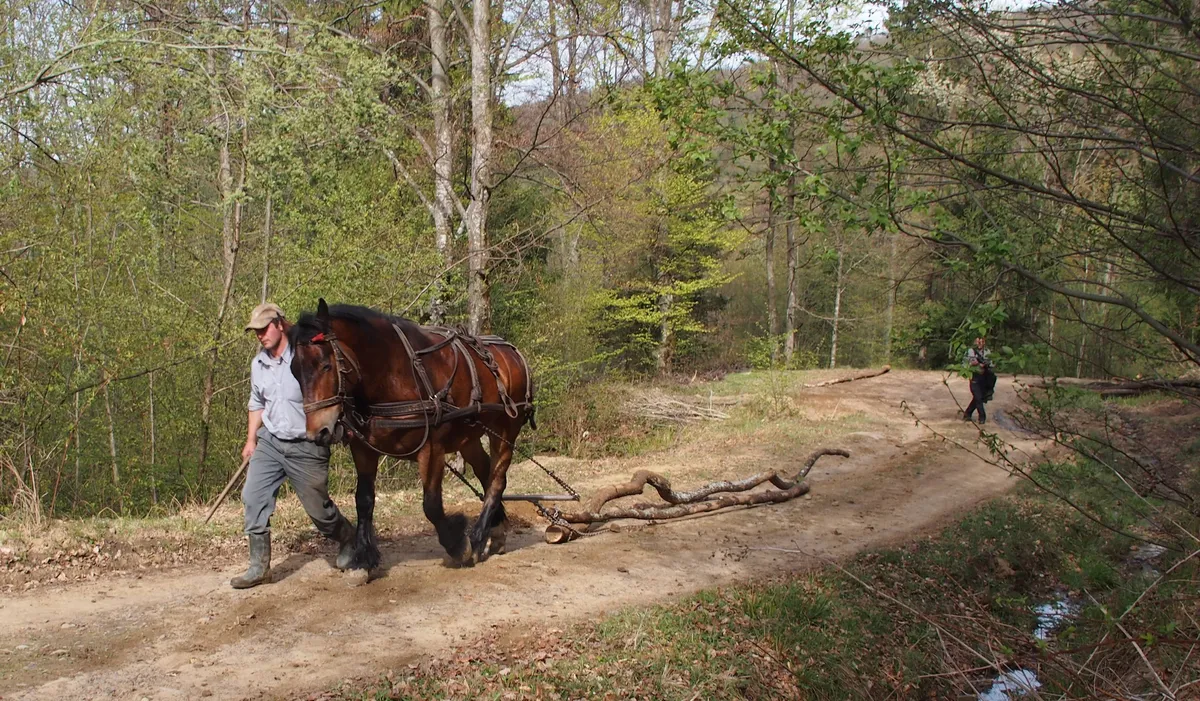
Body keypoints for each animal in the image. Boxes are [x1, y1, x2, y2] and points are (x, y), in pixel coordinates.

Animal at [288, 300, 532, 568]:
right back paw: (496, 531)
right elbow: (363, 499)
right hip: (468, 437)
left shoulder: (432, 448)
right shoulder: (363, 448)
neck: (394, 374)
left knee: (497, 480)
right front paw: (364, 555)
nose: (317, 432)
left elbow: (432, 505)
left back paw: (478, 539)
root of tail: (512, 354)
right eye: (293, 371)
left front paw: (458, 543)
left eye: (326, 365)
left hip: (506, 428)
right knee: (485, 472)